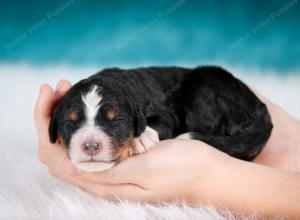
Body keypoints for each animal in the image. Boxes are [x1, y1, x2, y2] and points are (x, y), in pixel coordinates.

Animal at [49, 66, 274, 173]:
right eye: (70, 122)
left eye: (117, 121)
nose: (90, 146)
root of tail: (260, 110)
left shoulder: (166, 112)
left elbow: (158, 123)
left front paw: (141, 139)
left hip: (204, 87)